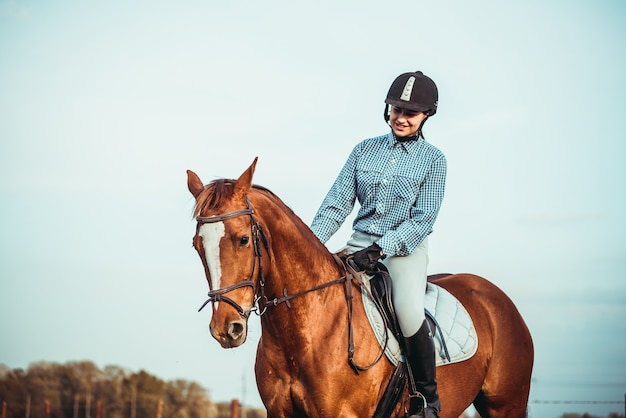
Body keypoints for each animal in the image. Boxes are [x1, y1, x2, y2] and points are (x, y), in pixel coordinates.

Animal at [186, 158, 532, 416]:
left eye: (244, 239)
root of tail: (496, 298)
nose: (226, 329)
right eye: (197, 246)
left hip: (506, 406)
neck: (307, 332)